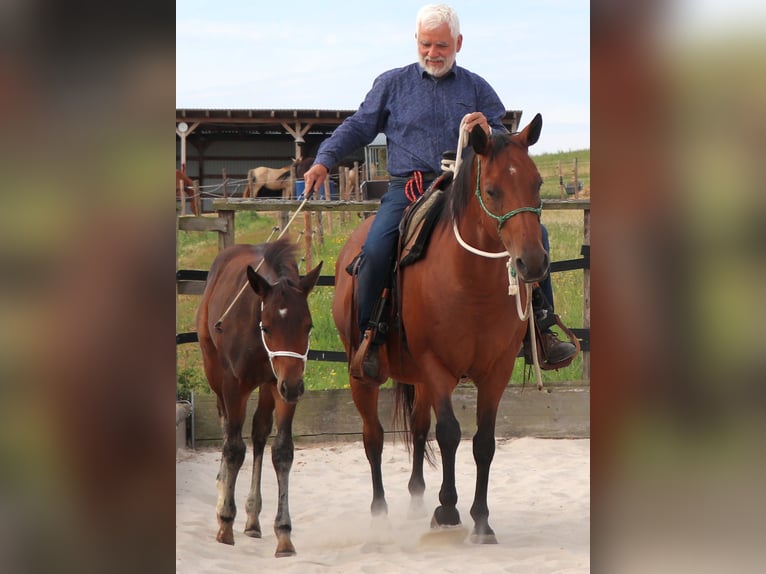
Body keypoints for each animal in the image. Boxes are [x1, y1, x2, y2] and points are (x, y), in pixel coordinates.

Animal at [196, 237, 323, 556]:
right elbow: (233, 448)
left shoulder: (280, 385)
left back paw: (253, 518)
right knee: (227, 427)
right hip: (215, 373)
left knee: (258, 432)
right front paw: (225, 523)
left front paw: (284, 534)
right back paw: (222, 495)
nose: (294, 387)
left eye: (308, 326)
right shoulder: (234, 384)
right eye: (267, 327)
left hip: (269, 386)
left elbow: (282, 451)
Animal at [331, 114, 547, 544]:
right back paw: (379, 513)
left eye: (537, 183)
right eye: (492, 190)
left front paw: (481, 521)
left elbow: (483, 442)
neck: (471, 283)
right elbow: (449, 433)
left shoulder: (496, 371)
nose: (531, 262)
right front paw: (447, 510)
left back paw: (416, 498)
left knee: (417, 429)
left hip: (417, 378)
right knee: (373, 437)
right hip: (362, 374)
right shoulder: (437, 366)